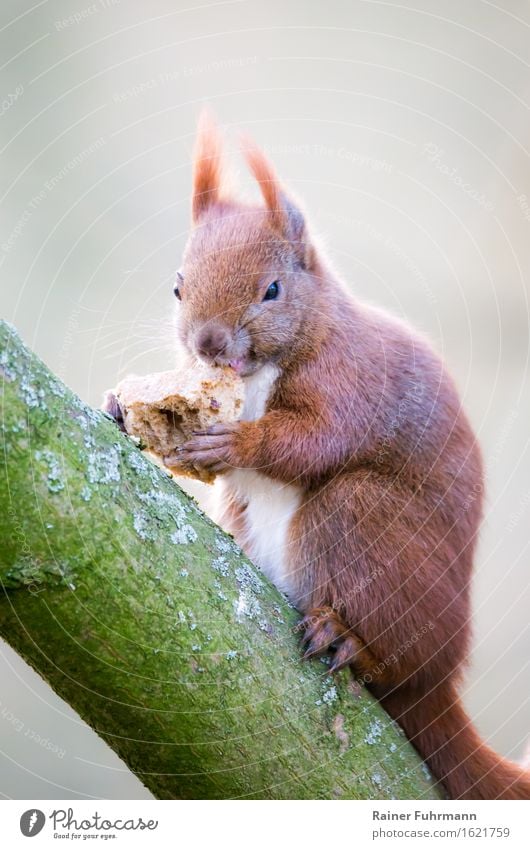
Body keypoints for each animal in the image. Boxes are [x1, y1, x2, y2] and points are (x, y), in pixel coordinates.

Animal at [129, 114, 530, 800]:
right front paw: (117, 404)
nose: (208, 343)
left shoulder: (350, 381)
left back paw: (348, 639)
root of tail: (443, 677)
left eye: (273, 289)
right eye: (177, 287)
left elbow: (317, 439)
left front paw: (237, 442)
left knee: (393, 660)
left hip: (365, 520)